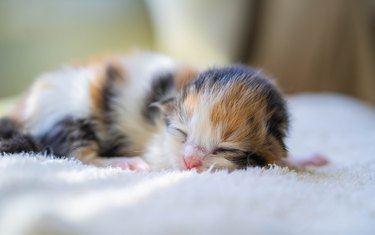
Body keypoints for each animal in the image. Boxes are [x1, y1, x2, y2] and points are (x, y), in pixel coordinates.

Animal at [0, 52, 290, 171]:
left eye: (225, 149)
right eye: (181, 132)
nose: (190, 161)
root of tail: (20, 110)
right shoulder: (160, 143)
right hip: (68, 113)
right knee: (77, 154)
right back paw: (126, 162)